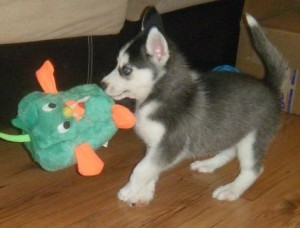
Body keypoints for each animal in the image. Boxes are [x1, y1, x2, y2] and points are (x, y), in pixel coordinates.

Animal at [102, 7, 288, 207]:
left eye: (126, 69)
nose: (102, 84)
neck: (157, 96)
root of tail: (268, 84)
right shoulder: (154, 145)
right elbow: (150, 169)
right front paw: (144, 193)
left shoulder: (170, 145)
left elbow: (141, 169)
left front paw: (129, 189)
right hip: (229, 130)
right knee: (229, 151)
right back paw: (208, 164)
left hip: (252, 139)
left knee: (253, 169)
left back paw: (232, 189)